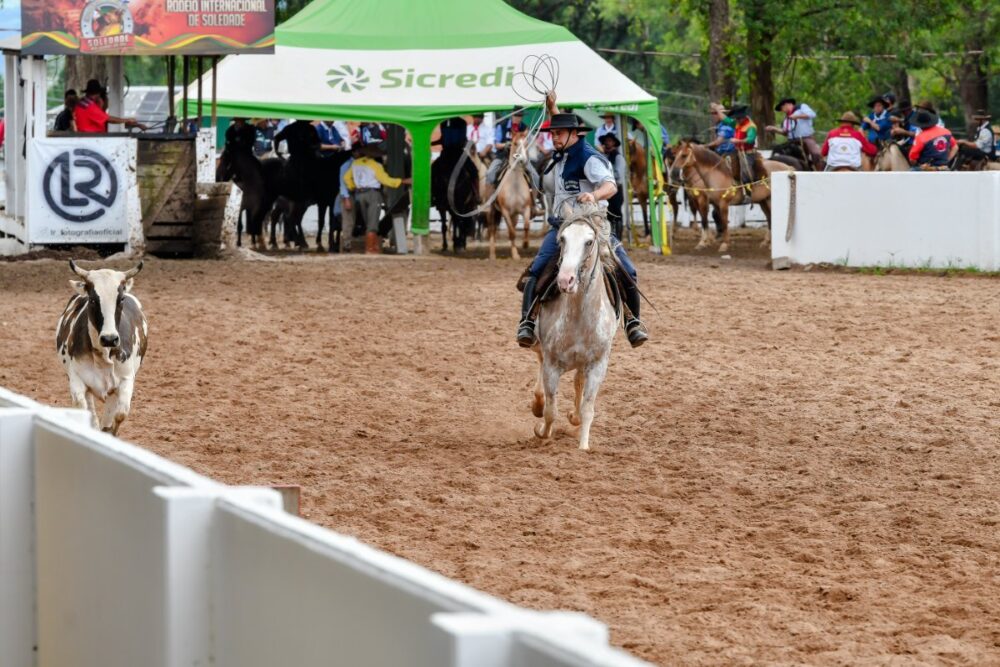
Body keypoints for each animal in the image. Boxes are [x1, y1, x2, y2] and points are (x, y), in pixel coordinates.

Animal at [55, 260, 148, 435]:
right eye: (93, 300)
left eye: (121, 299)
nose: (109, 338)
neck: (103, 355)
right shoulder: (76, 379)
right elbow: (84, 410)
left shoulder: (126, 379)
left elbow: (120, 414)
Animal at [530, 203, 619, 451]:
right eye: (562, 239)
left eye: (589, 242)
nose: (565, 280)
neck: (579, 317)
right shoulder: (552, 365)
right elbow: (551, 411)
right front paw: (542, 432)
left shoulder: (597, 365)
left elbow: (588, 409)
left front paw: (583, 446)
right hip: (538, 346)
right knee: (540, 369)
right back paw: (537, 404)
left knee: (578, 381)